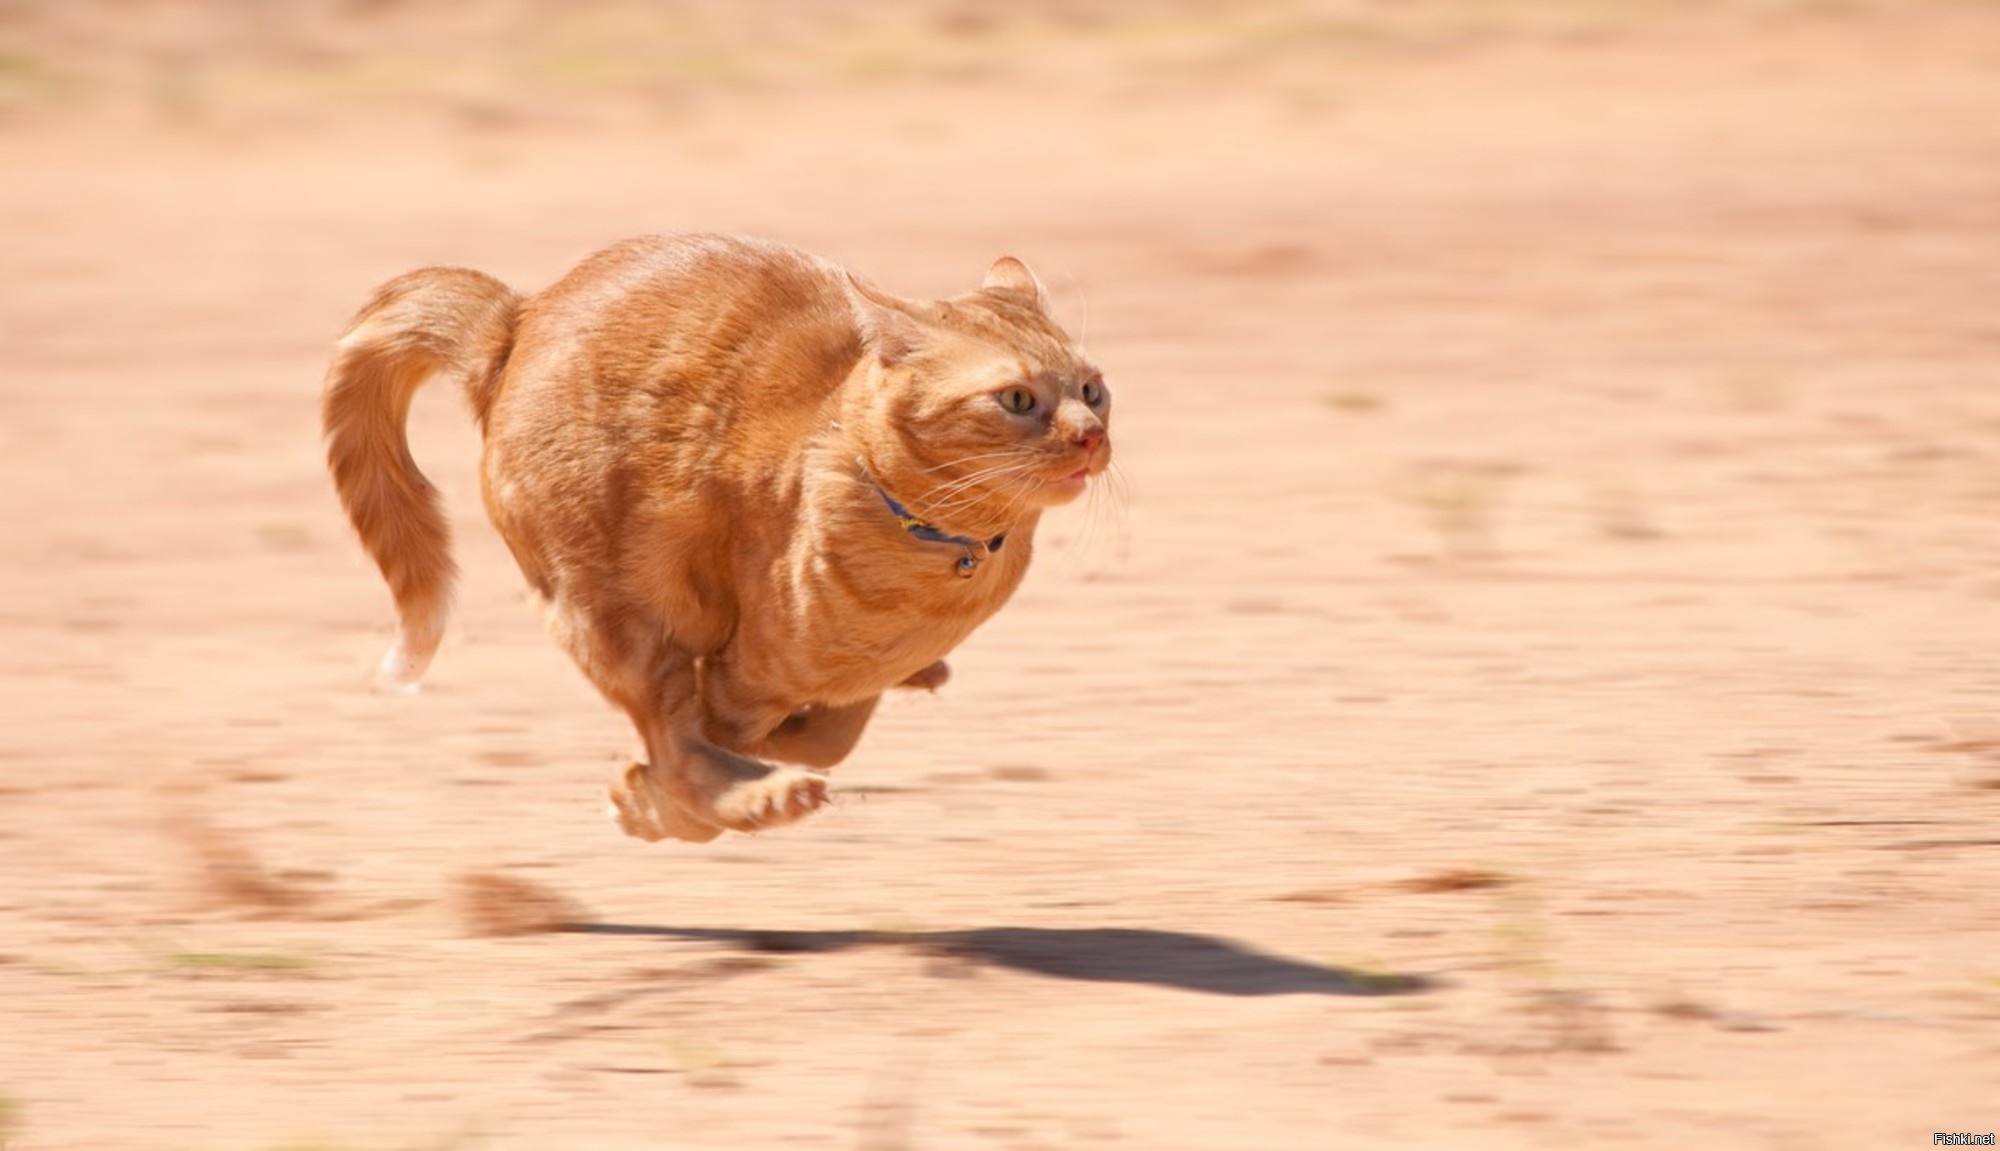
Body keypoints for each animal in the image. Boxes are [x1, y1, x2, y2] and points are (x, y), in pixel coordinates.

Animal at [324, 235, 1112, 847]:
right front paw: (655, 804)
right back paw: (757, 797)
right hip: (618, 606)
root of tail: (515, 318)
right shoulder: (744, 669)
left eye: (1092, 389)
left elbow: (833, 729)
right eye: (1017, 398)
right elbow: (711, 740)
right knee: (675, 742)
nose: (1092, 435)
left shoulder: (845, 674)